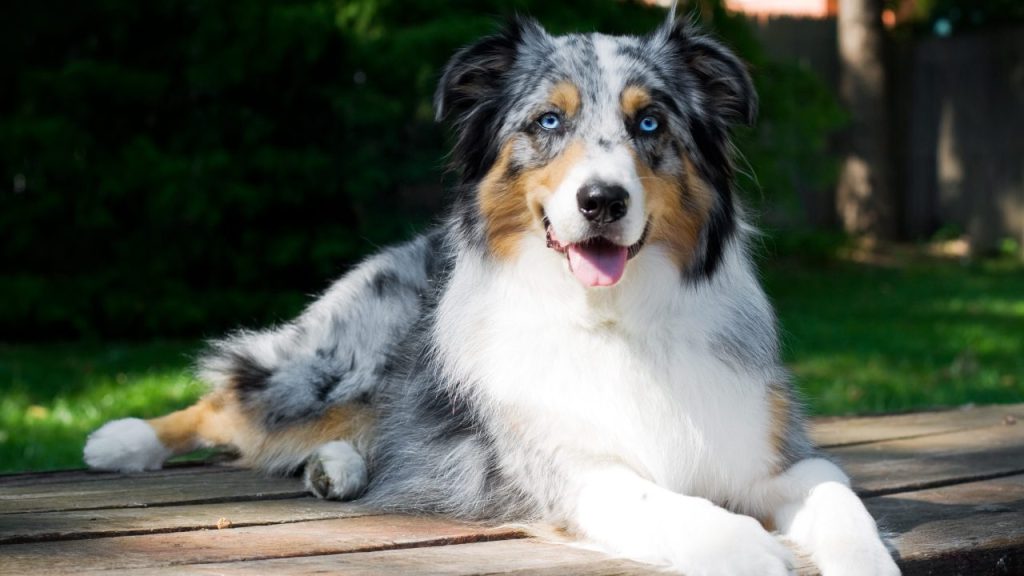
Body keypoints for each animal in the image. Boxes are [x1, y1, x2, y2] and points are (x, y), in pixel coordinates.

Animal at [90, 13, 905, 573]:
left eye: (650, 122)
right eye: (548, 120)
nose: (602, 201)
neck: (614, 321)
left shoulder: (770, 456)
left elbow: (836, 491)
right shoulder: (571, 473)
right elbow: (670, 504)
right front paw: (750, 548)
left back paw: (338, 468)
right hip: (334, 369)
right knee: (233, 397)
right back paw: (123, 439)